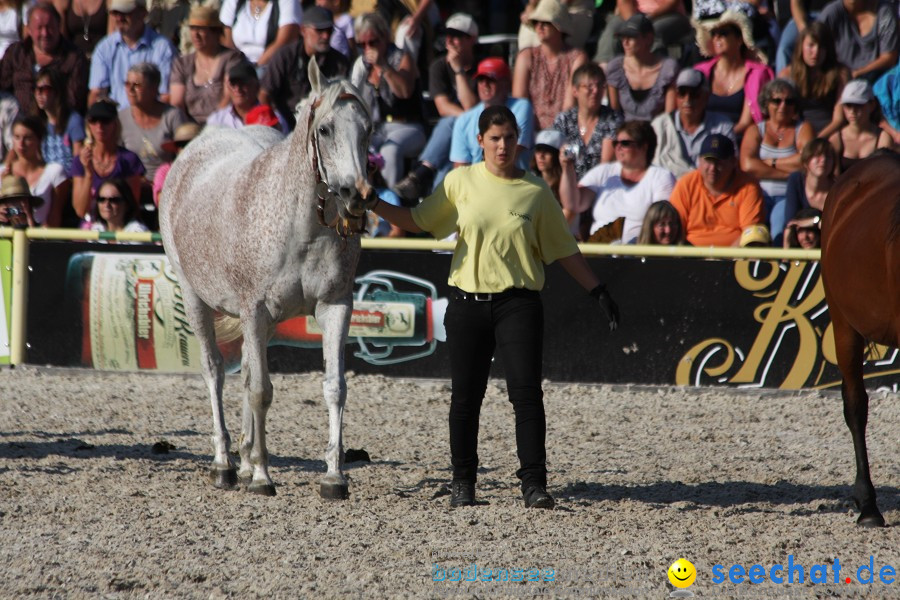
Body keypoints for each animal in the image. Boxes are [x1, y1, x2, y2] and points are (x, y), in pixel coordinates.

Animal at [158, 62, 372, 502]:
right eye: (326, 129)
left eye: (369, 128)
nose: (355, 194)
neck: (301, 226)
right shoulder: (254, 311)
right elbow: (260, 390)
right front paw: (261, 475)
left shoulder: (334, 307)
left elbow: (334, 387)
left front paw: (334, 477)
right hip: (196, 300)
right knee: (215, 372)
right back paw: (225, 464)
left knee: (241, 375)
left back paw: (241, 458)